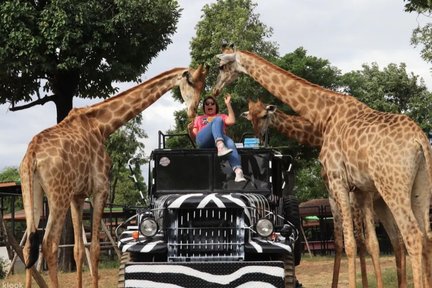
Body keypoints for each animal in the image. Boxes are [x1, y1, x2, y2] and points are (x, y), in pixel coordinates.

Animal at [19, 65, 208, 288]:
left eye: (203, 84)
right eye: (192, 82)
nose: (193, 111)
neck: (102, 126)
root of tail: (32, 155)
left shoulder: (77, 196)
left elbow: (78, 250)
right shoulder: (100, 189)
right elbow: (94, 249)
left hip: (33, 191)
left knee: (29, 245)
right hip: (58, 195)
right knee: (49, 243)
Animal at [243, 99, 408, 288]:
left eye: (264, 115)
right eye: (250, 117)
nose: (259, 137)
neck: (319, 138)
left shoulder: (346, 195)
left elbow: (357, 240)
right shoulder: (336, 196)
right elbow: (342, 241)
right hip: (384, 202)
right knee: (399, 238)